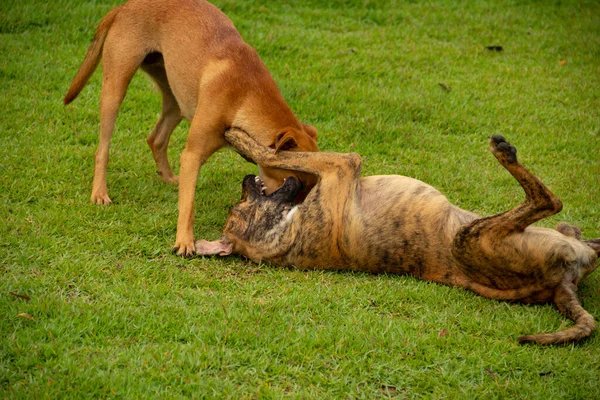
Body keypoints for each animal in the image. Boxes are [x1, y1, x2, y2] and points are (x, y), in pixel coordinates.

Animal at [62, 0, 318, 256]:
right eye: (297, 180)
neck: (246, 94)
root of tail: (125, 6)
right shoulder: (193, 155)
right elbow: (188, 205)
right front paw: (184, 241)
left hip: (177, 97)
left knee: (156, 138)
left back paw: (168, 177)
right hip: (115, 89)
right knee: (102, 149)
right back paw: (99, 193)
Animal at [197, 128, 600, 344]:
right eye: (240, 204)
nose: (245, 180)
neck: (284, 235)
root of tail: (558, 286)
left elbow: (281, 156)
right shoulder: (342, 164)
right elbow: (278, 154)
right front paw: (240, 139)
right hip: (474, 236)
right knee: (548, 200)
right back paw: (504, 153)